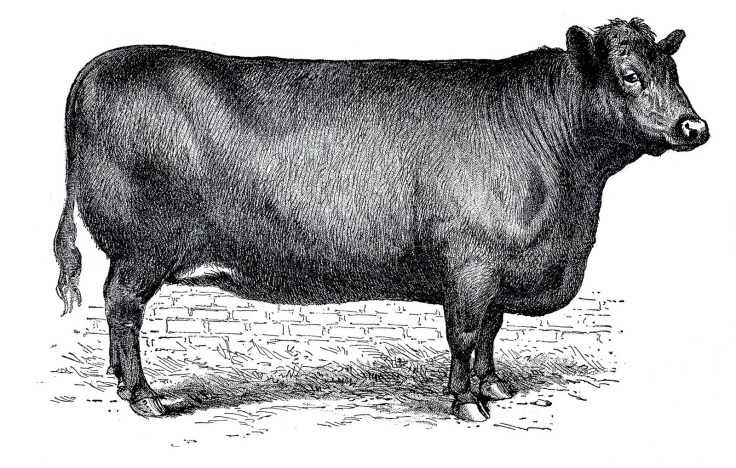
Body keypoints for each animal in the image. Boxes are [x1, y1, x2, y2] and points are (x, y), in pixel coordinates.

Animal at [54, 18, 708, 421]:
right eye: (630, 75)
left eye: (673, 72)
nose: (694, 126)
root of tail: (96, 70)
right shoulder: (470, 266)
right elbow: (464, 333)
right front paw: (466, 404)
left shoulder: (498, 273)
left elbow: (492, 332)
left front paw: (494, 387)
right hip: (144, 248)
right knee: (123, 306)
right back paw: (143, 396)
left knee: (117, 309)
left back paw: (119, 379)